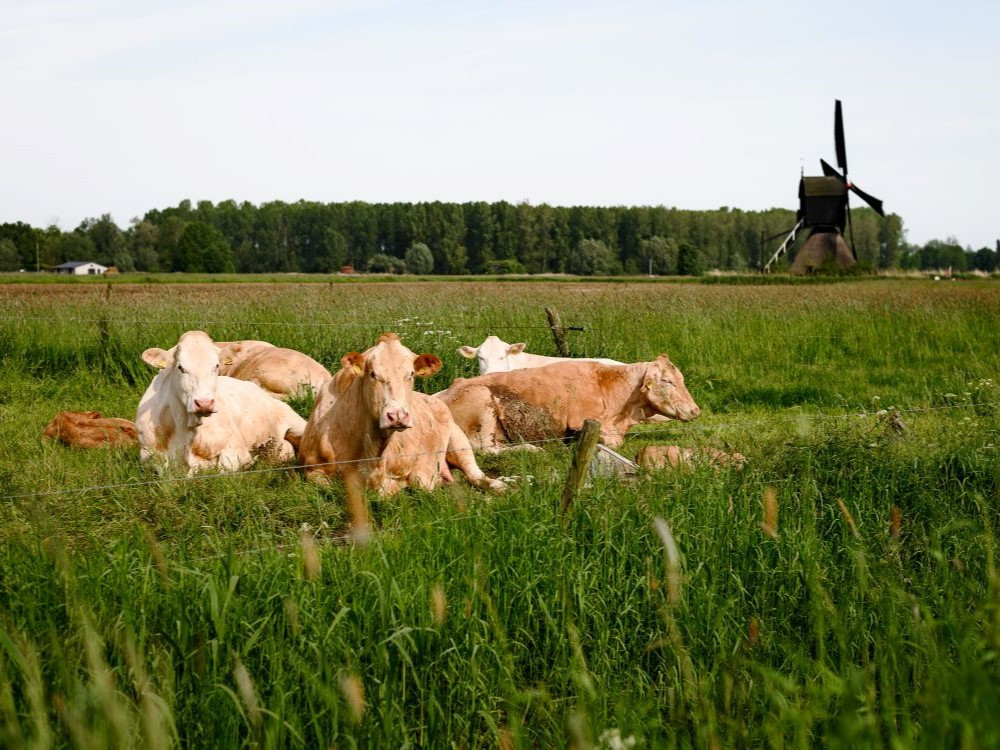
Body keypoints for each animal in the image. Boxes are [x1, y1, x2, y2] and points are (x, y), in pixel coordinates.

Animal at [135, 330, 304, 476]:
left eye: (216, 366)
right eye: (180, 367)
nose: (204, 403)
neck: (184, 430)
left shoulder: (236, 449)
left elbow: (221, 470)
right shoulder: (147, 456)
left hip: (296, 423)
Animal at [296, 334, 508, 500]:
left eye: (411, 374)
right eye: (372, 374)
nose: (397, 416)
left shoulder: (421, 467)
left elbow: (419, 484)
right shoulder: (312, 469)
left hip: (458, 440)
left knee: (474, 473)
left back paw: (498, 485)